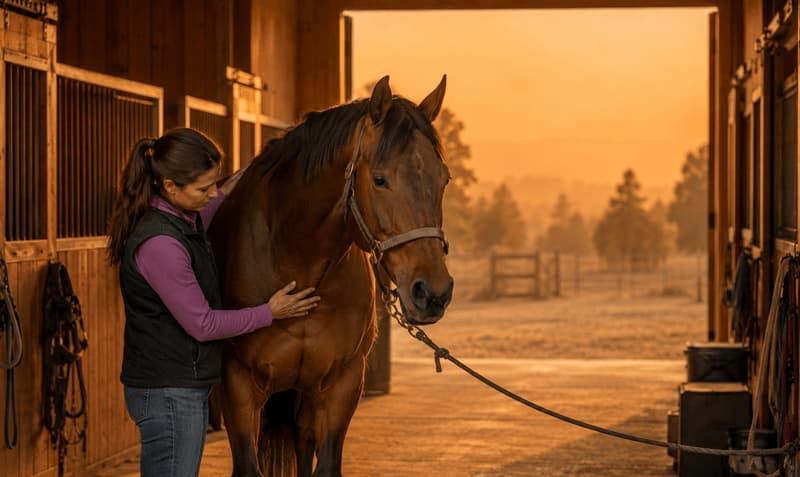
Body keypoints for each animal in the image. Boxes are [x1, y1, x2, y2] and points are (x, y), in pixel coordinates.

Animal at [208, 75, 454, 477]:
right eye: (380, 179)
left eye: (444, 179)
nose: (432, 293)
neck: (296, 262)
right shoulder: (238, 386)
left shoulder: (341, 386)